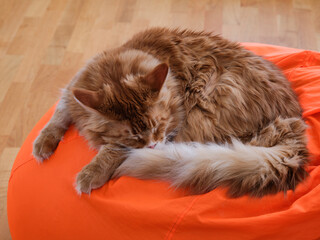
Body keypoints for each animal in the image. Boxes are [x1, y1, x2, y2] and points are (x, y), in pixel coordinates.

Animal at [31, 27, 308, 197]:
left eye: (158, 125)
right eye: (134, 135)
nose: (153, 145)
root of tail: (292, 123)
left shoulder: (173, 126)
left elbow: (113, 149)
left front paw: (90, 173)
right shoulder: (72, 90)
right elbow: (57, 116)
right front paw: (43, 143)